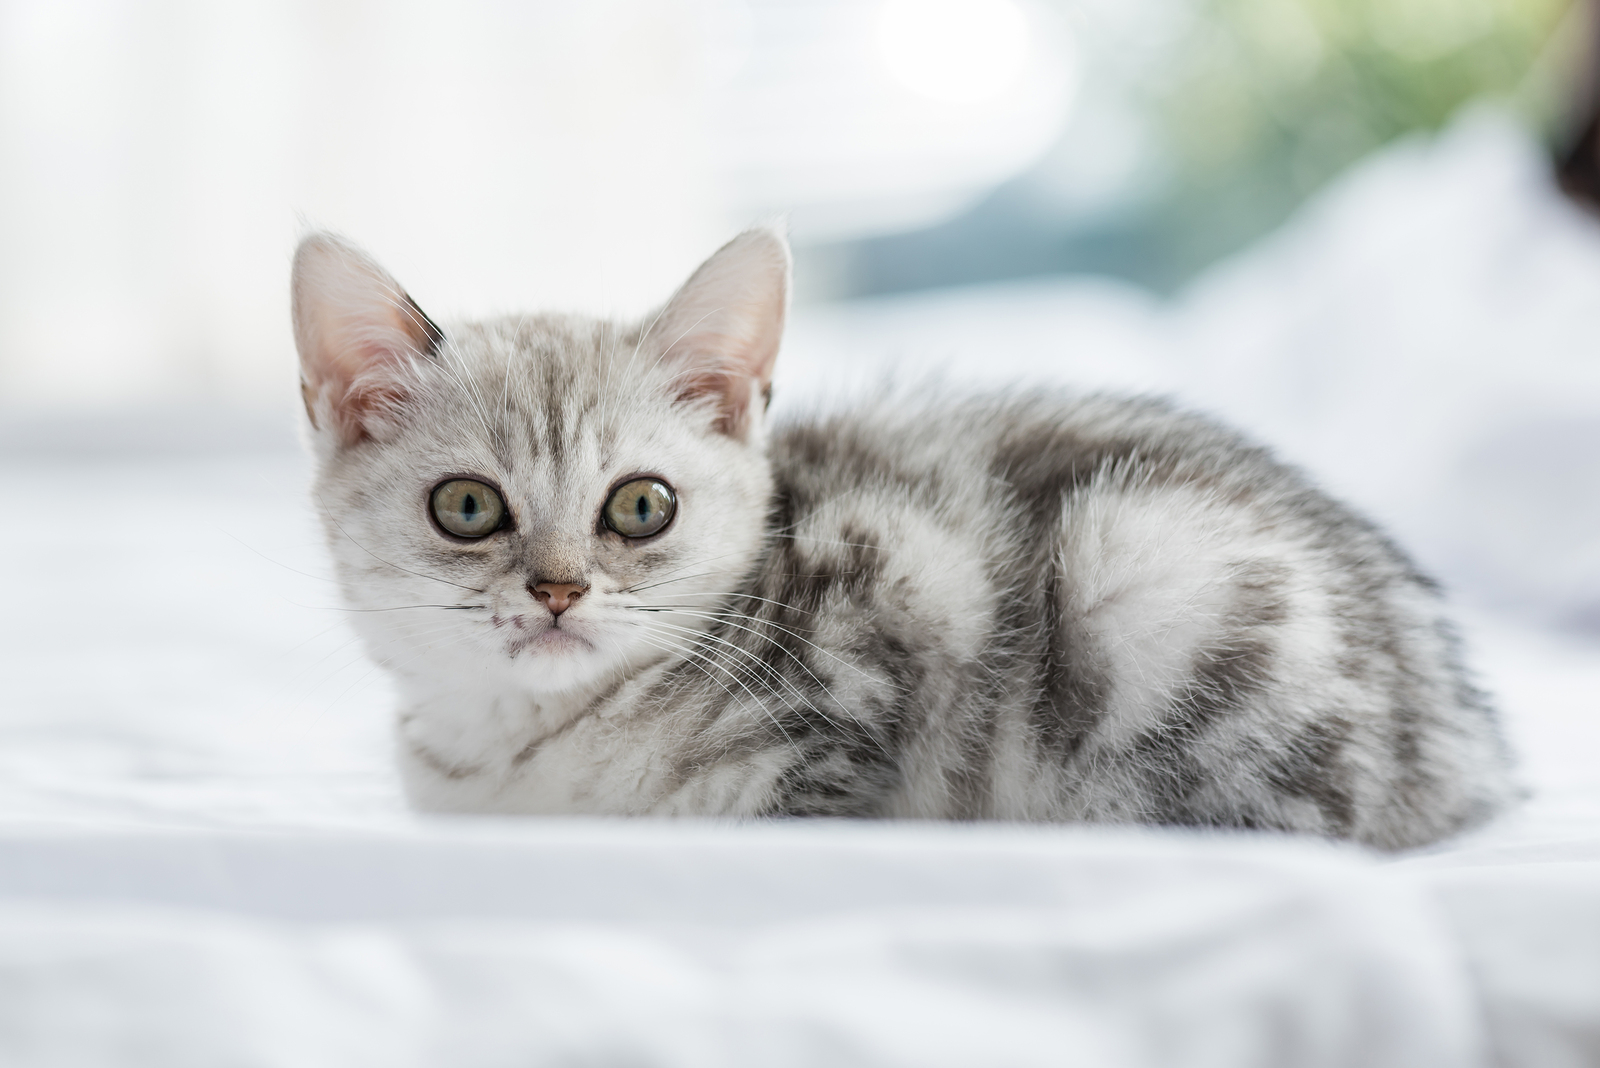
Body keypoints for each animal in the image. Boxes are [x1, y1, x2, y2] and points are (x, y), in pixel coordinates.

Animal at [297, 227, 1510, 850]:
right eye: (467, 508)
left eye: (640, 508)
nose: (557, 592)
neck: (523, 755)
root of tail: (1466, 755)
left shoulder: (868, 671)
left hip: (1149, 575)